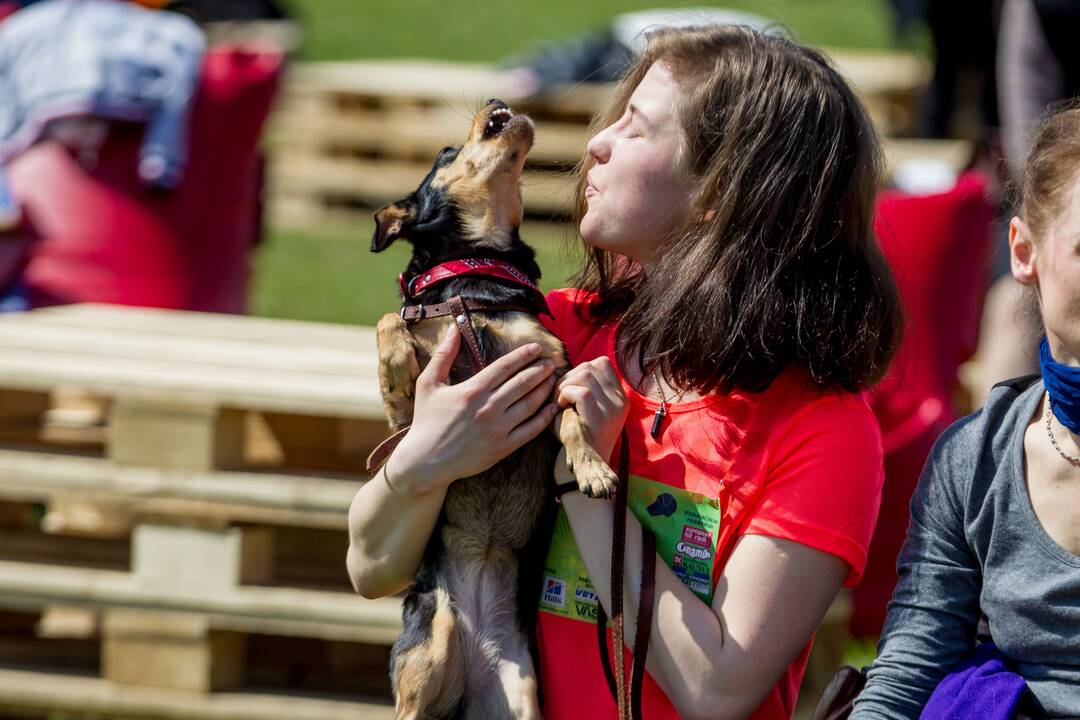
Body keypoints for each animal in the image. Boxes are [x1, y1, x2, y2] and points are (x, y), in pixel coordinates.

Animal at [371, 101, 622, 720]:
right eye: (446, 153)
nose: (492, 102)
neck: (478, 277)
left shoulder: (550, 378)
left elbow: (574, 421)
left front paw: (592, 469)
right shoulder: (426, 372)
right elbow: (392, 321)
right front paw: (392, 386)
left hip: (522, 695)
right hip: (429, 646)